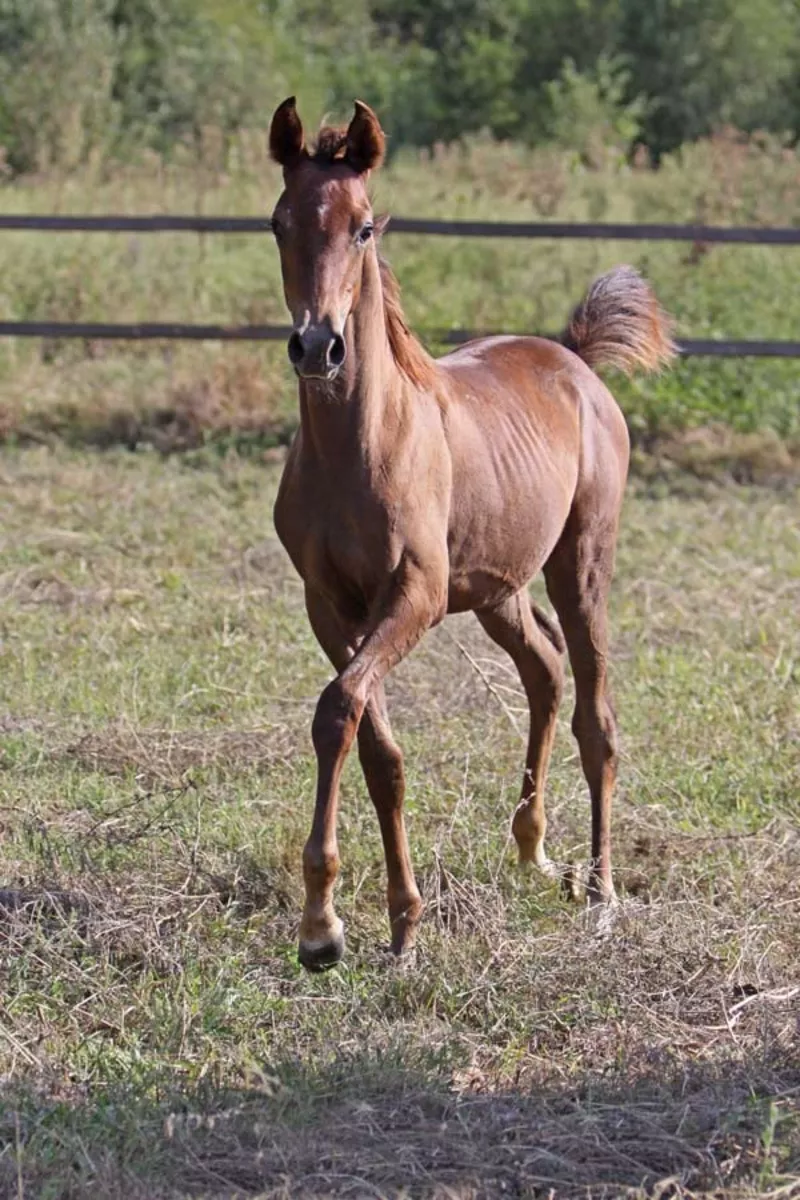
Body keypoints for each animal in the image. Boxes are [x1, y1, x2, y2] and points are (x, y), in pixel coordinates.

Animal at [268, 98, 676, 969]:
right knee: (545, 672)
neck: (361, 445)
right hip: (499, 590)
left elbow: (337, 709)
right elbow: (375, 748)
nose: (318, 346)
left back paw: (601, 894)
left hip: (581, 564)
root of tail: (574, 359)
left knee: (596, 714)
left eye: (363, 228)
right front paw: (395, 923)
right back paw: (533, 851)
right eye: (280, 222)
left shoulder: (414, 596)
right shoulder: (330, 604)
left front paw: (323, 926)